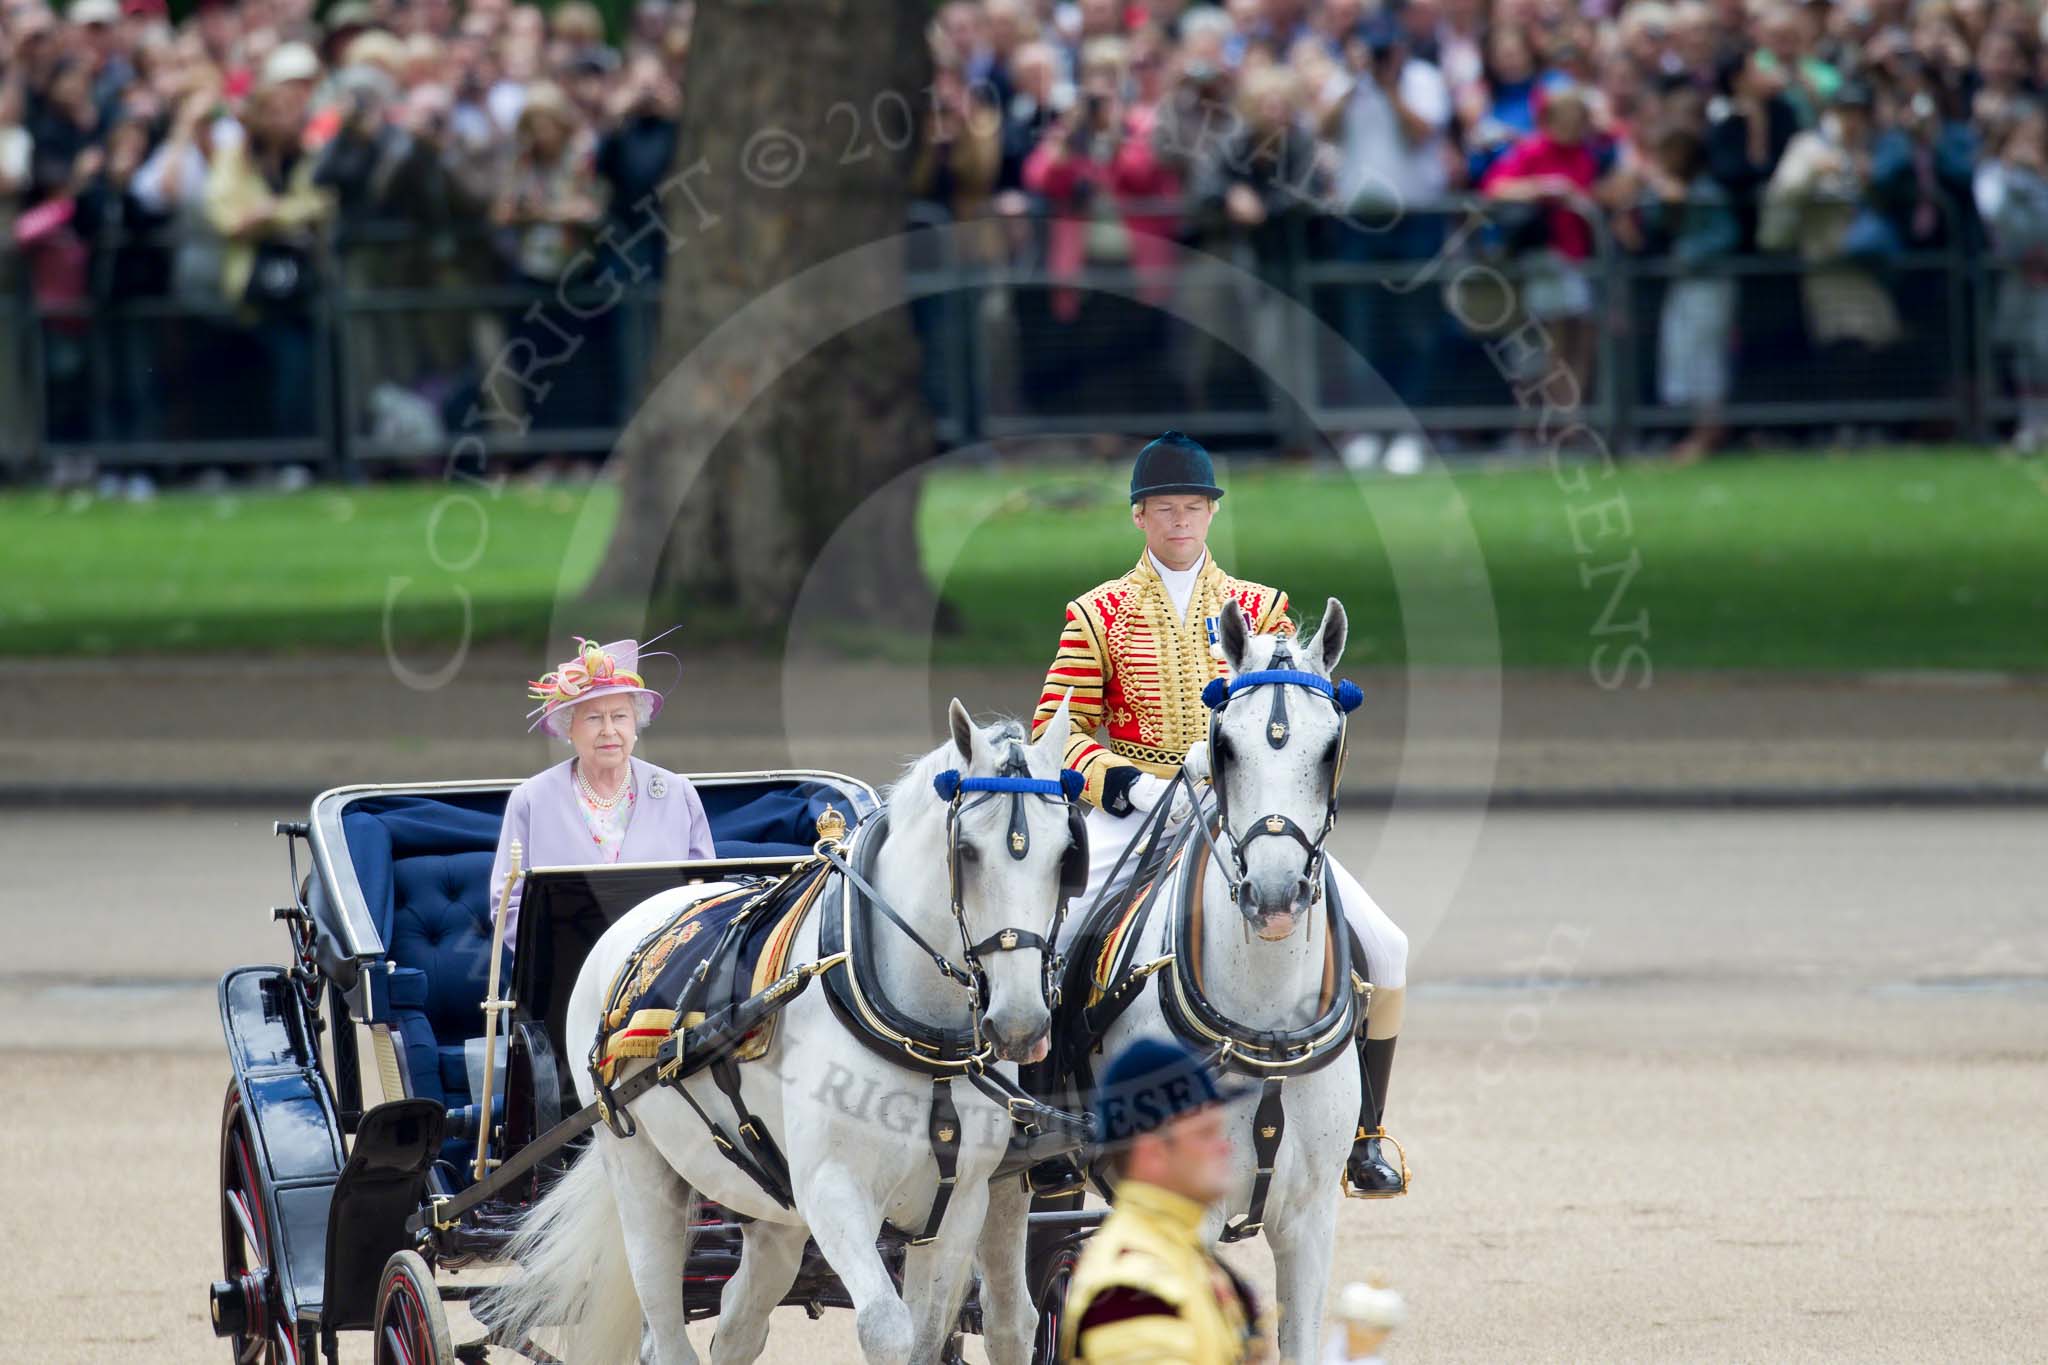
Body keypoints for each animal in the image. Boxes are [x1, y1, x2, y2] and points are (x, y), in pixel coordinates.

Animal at [485, 699, 1081, 1365]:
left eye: (1066, 855)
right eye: (969, 853)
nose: (1021, 1023)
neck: (922, 1041)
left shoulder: (960, 1203)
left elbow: (927, 1336)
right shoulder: (833, 1191)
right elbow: (887, 1328)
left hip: (772, 1205)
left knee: (739, 1324)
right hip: (641, 1174)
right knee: (665, 1328)